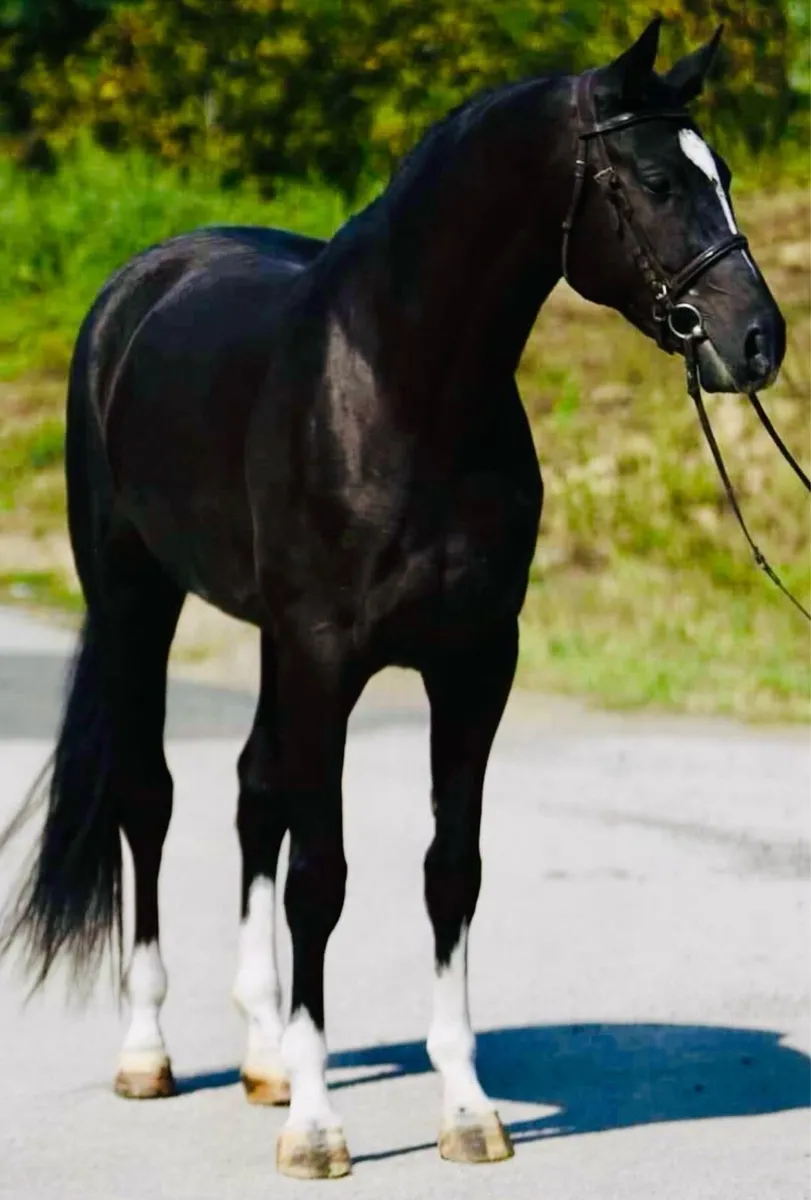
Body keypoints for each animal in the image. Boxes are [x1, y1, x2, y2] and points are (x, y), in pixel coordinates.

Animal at [0, 18, 785, 1180]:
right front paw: (318, 1126)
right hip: (138, 601)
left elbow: (448, 871)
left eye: (721, 173)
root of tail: (141, 286)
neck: (403, 389)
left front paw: (464, 1109)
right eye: (652, 179)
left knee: (252, 790)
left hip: (268, 643)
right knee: (152, 797)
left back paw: (263, 1055)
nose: (756, 342)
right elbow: (322, 876)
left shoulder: (474, 662)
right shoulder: (327, 656)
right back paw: (150, 1053)